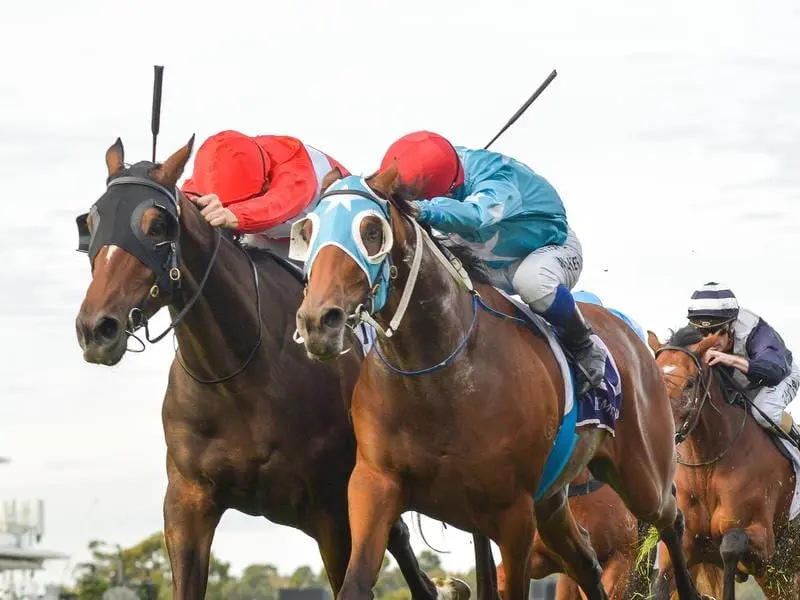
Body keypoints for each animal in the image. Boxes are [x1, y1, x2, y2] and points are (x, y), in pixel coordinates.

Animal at [71, 138, 468, 600]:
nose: (96, 328)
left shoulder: (332, 513)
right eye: (92, 221)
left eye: (156, 225)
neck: (240, 375)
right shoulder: (187, 503)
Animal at [290, 166, 708, 600]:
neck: (436, 375)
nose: (318, 321)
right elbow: (356, 581)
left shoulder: (512, 513)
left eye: (371, 230)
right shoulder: (374, 483)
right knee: (586, 563)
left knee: (671, 521)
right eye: (308, 230)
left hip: (643, 475)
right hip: (553, 501)